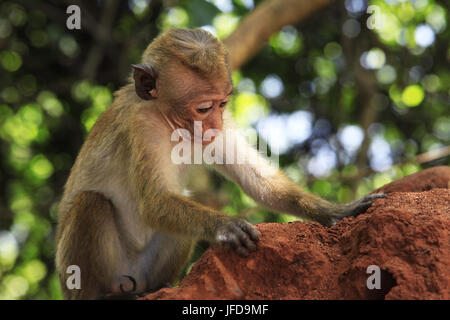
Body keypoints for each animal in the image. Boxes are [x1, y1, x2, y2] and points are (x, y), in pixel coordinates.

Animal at [54, 27, 384, 300]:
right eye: (203, 108)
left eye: (222, 103)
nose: (213, 124)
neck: (168, 121)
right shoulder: (141, 126)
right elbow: (154, 201)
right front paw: (225, 226)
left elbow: (256, 180)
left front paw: (335, 212)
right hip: (82, 276)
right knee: (91, 202)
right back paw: (102, 295)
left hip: (146, 269)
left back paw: (156, 288)